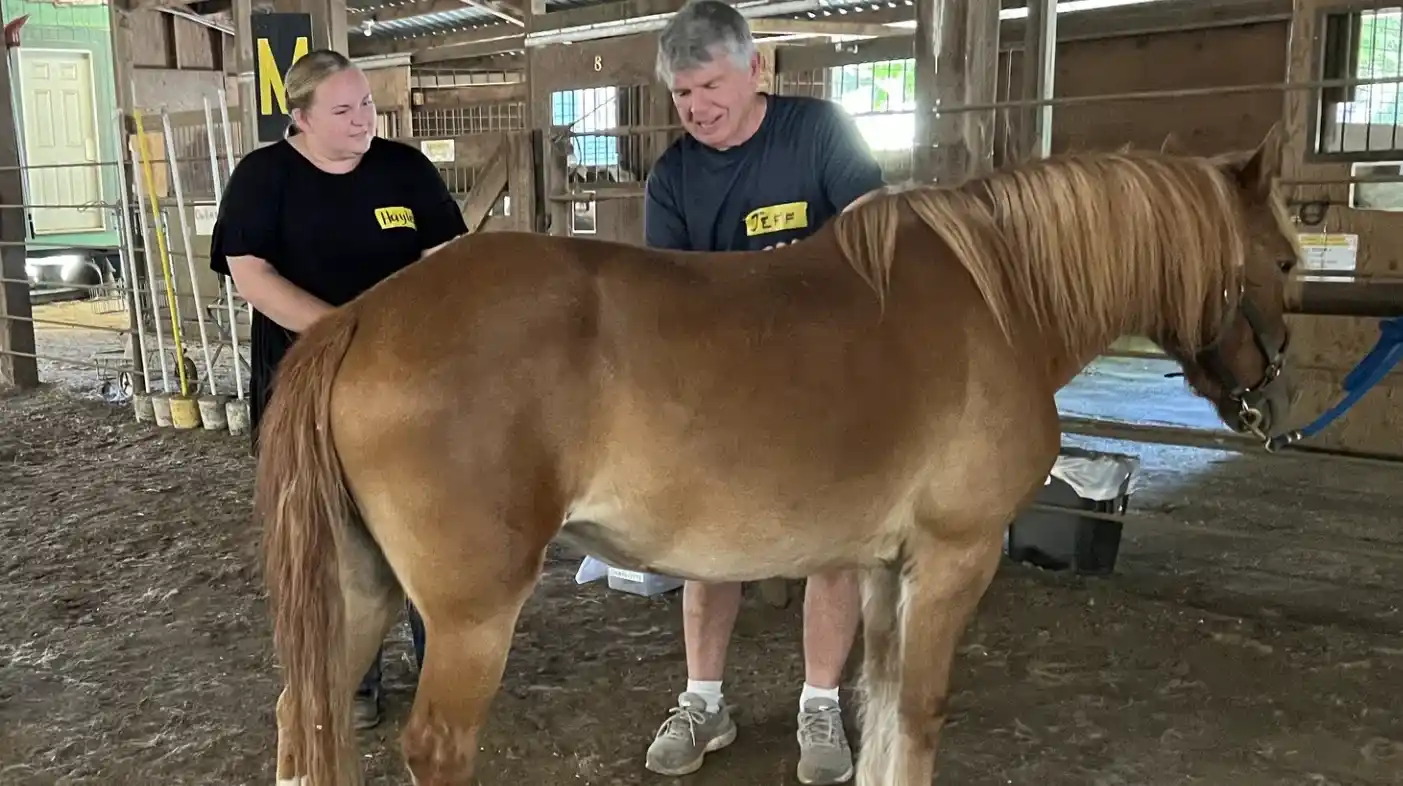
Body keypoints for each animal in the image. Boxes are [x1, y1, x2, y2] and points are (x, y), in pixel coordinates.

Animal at [258, 124, 1302, 786]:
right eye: (1289, 261)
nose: (1275, 401)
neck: (997, 300)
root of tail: (360, 318)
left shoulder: (885, 569)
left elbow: (878, 705)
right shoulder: (954, 559)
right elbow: (919, 715)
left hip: (359, 590)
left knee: (302, 720)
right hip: (471, 616)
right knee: (435, 747)